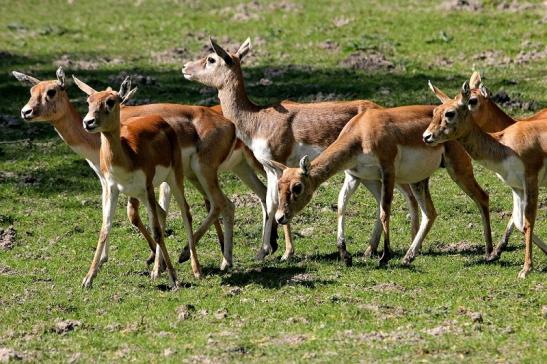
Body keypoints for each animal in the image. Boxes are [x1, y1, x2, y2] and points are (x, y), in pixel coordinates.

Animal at [183, 37, 496, 264]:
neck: (258, 118)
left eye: (211, 58)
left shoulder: (277, 163)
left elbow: (272, 204)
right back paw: (382, 250)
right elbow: (272, 203)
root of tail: (377, 107)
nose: (185, 67)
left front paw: (282, 252)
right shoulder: (273, 169)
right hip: (371, 176)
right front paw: (267, 250)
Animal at [424, 80, 547, 278]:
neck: (505, 145)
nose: (426, 136)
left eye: (450, 113)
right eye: (435, 111)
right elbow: (519, 222)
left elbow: (528, 223)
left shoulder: (531, 181)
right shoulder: (517, 187)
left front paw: (525, 269)